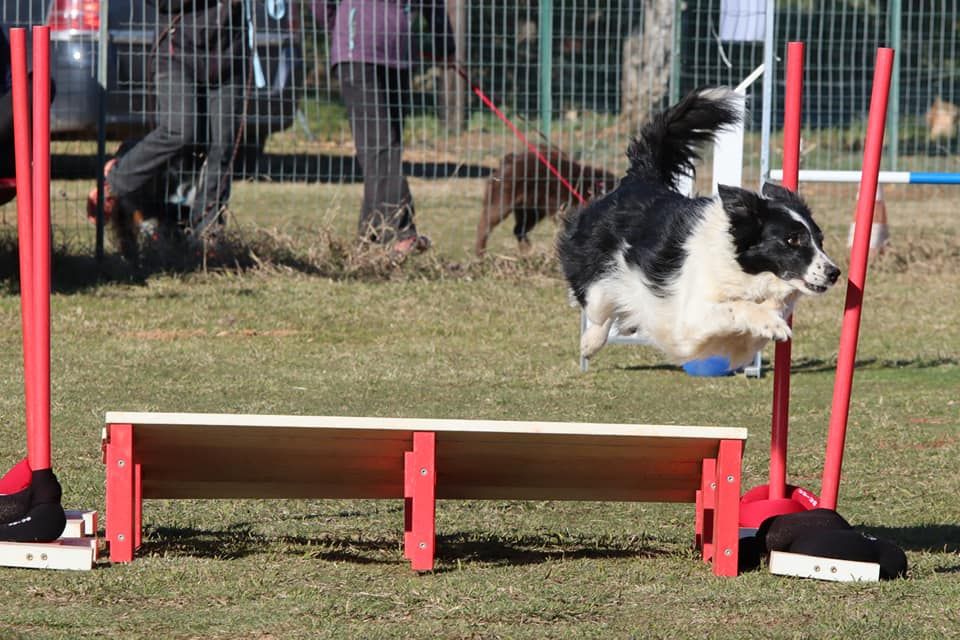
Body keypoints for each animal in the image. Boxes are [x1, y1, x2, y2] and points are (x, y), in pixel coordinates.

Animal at [472, 148, 616, 255]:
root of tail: (508, 160)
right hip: (502, 202)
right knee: (484, 226)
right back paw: (481, 254)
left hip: (531, 211)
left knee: (518, 230)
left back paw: (527, 252)